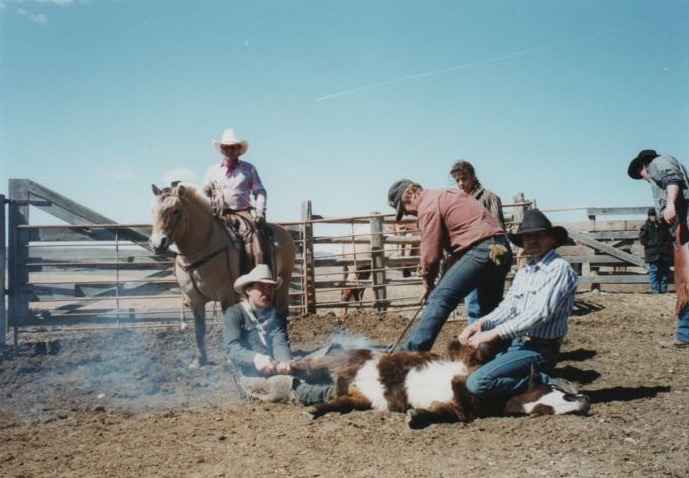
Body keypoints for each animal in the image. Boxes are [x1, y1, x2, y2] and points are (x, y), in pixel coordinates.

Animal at [149, 182, 294, 366]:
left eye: (175, 210)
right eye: (153, 210)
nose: (156, 243)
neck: (202, 249)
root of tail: (283, 231)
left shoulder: (225, 295)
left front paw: (231, 360)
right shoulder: (194, 299)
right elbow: (199, 329)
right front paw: (199, 360)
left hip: (284, 283)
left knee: (282, 312)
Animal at [288, 340, 588, 430]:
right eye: (560, 391)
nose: (585, 401)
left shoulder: (456, 409)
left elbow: (435, 413)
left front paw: (414, 416)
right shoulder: (468, 362)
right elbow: (468, 349)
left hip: (361, 398)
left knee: (340, 401)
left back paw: (316, 409)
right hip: (343, 359)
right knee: (309, 364)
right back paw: (285, 366)